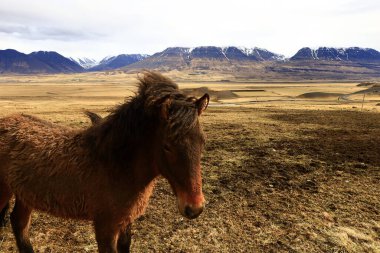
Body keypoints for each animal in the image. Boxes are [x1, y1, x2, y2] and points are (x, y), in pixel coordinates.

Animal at [0, 71, 208, 253]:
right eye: (167, 146)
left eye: (202, 141)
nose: (194, 208)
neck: (116, 165)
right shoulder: (105, 227)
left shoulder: (125, 221)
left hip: (25, 195)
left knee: (19, 223)